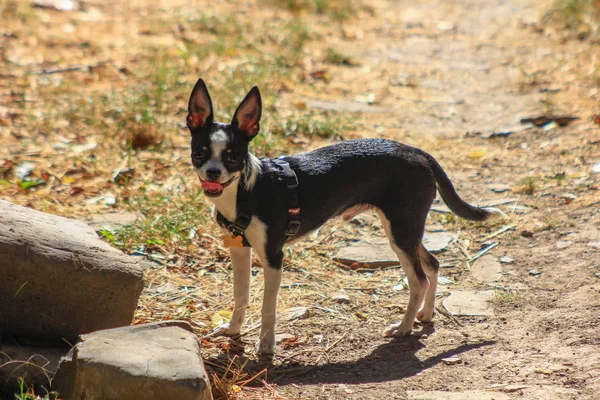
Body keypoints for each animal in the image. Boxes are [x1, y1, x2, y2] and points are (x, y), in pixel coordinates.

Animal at [188, 79, 506, 356]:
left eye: (233, 157)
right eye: (199, 153)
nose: (213, 173)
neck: (245, 190)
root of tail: (420, 153)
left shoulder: (273, 257)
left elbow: (268, 307)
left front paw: (266, 345)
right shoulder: (240, 250)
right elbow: (240, 296)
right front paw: (232, 330)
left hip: (401, 232)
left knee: (419, 280)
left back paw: (403, 327)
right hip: (407, 230)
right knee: (432, 264)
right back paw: (425, 314)